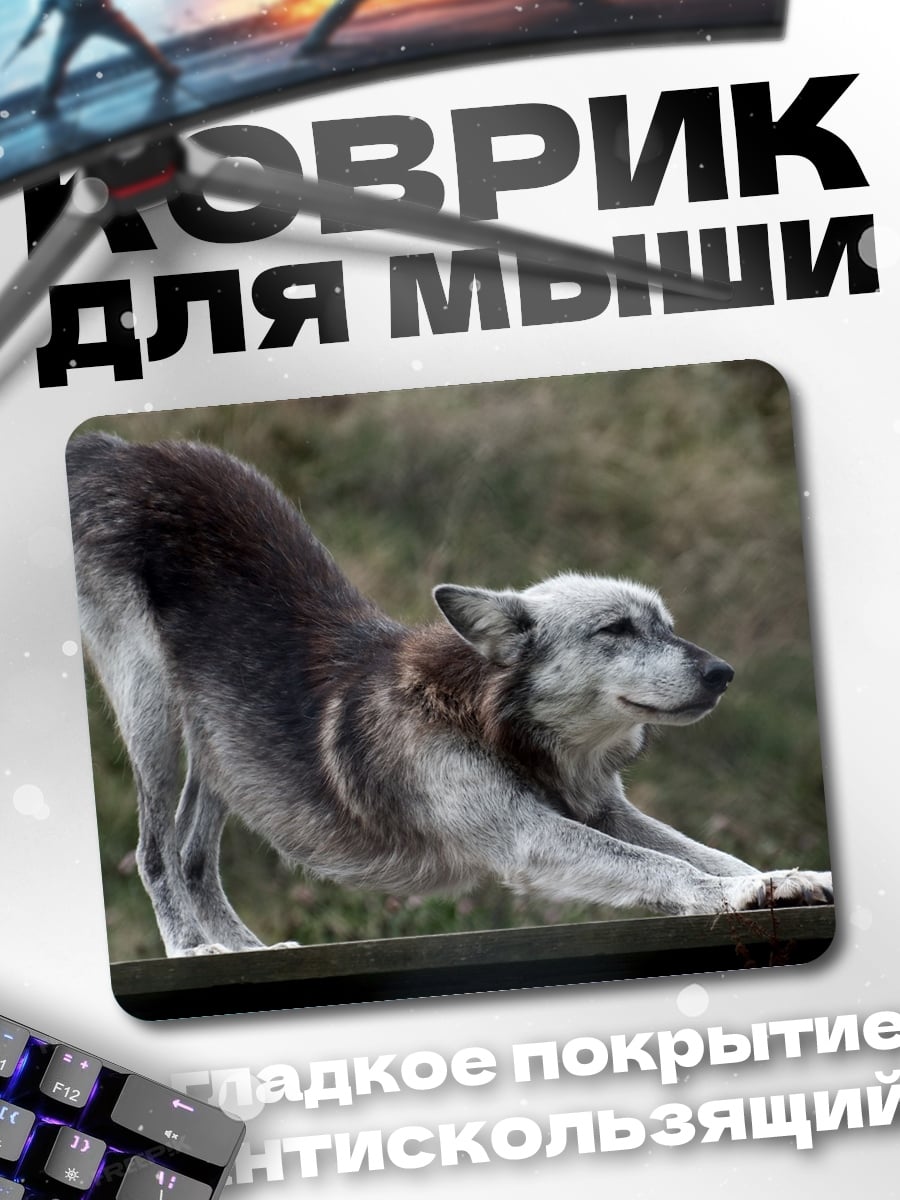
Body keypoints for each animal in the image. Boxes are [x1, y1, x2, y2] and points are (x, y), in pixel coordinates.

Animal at [66, 433, 832, 957]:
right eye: (617, 629)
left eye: (668, 627)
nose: (723, 672)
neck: (489, 722)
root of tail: (118, 450)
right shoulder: (529, 835)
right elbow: (665, 864)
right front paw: (732, 894)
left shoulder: (604, 810)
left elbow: (706, 851)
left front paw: (785, 877)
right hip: (153, 716)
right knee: (158, 851)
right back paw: (190, 949)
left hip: (222, 745)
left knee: (195, 857)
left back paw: (245, 950)